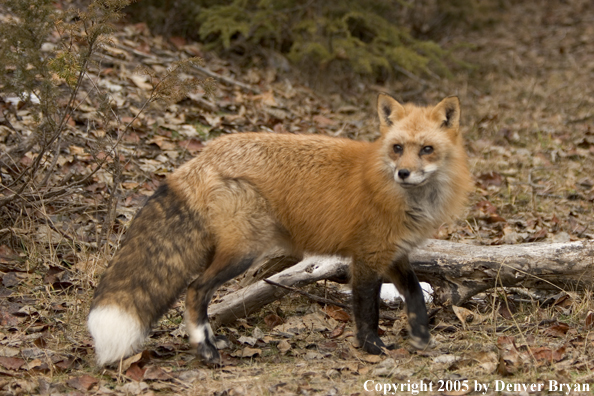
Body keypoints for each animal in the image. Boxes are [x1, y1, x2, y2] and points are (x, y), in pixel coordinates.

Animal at [86, 93, 472, 366]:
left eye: (426, 149)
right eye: (397, 148)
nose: (403, 173)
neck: (405, 198)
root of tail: (203, 155)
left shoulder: (393, 253)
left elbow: (416, 294)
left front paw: (421, 337)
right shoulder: (367, 256)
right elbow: (367, 309)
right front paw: (372, 347)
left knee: (200, 295)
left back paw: (211, 342)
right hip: (243, 252)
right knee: (195, 291)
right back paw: (206, 352)